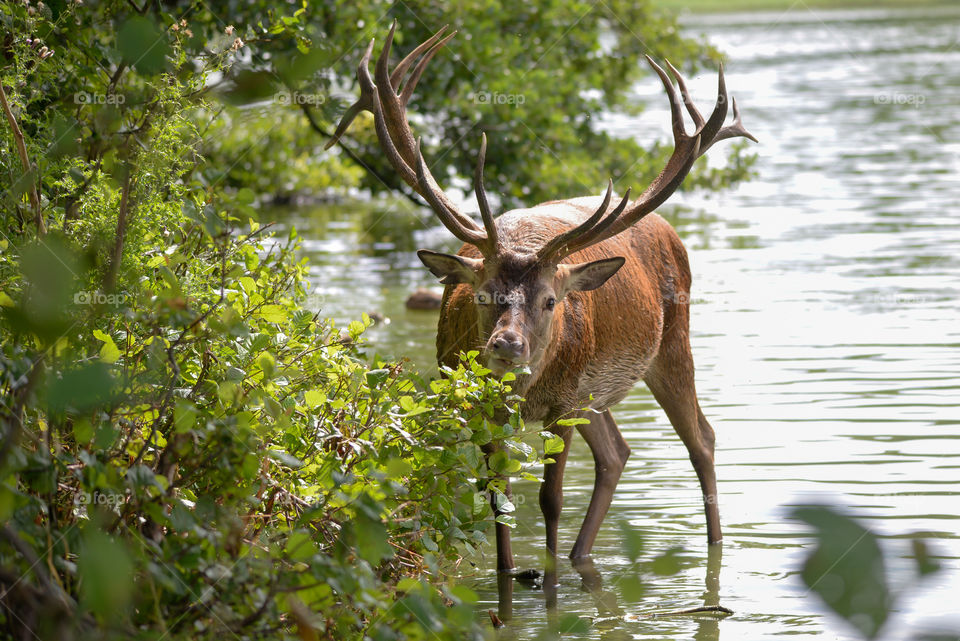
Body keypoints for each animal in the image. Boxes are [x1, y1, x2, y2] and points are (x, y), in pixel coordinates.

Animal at [326, 23, 756, 576]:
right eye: (481, 294)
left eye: (551, 301)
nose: (507, 346)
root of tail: (669, 230)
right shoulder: (481, 404)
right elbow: (498, 499)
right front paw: (510, 576)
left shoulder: (561, 404)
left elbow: (550, 501)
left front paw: (548, 584)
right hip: (595, 393)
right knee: (617, 452)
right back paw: (580, 556)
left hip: (668, 344)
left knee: (702, 438)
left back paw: (714, 546)